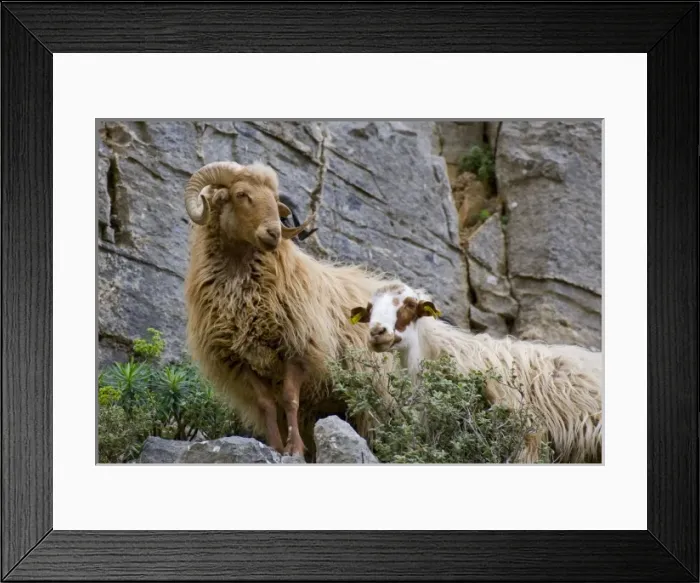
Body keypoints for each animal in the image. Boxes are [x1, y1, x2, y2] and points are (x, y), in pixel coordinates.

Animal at [182, 160, 403, 460]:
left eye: (275, 202)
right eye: (241, 194)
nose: (274, 233)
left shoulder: (298, 348)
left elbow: (290, 400)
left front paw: (294, 449)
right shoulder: (242, 361)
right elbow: (267, 404)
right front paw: (276, 447)